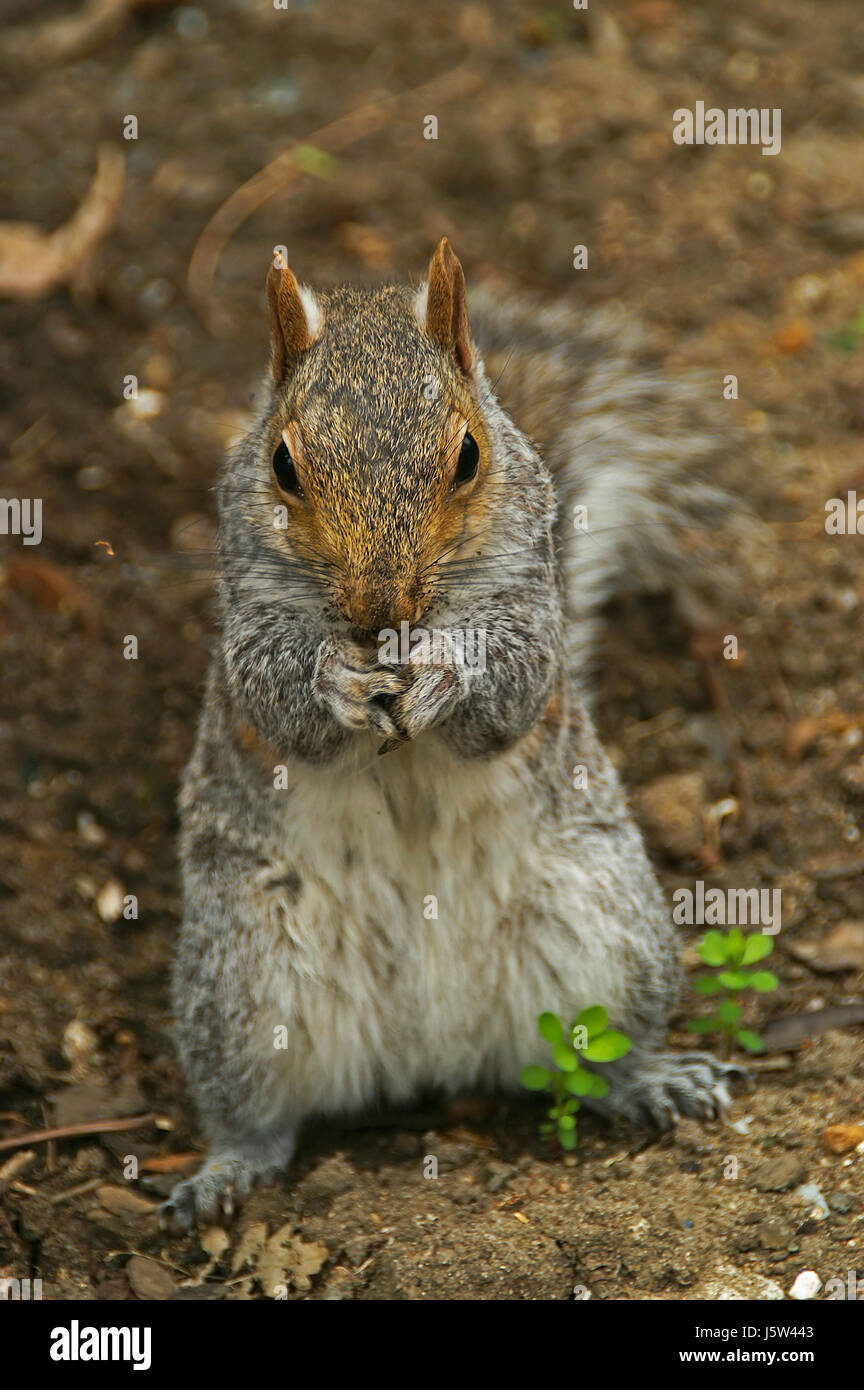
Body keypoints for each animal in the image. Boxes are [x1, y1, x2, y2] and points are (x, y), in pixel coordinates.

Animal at [161, 237, 742, 1229]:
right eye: (282, 466)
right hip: (242, 975)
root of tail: (423, 1046)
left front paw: (446, 674)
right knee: (257, 1113)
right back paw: (227, 1169)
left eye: (468, 455)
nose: (379, 607)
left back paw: (651, 1079)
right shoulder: (248, 612)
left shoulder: (533, 607)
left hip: (603, 928)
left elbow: (510, 684)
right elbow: (276, 694)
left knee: (596, 1057)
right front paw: (336, 681)